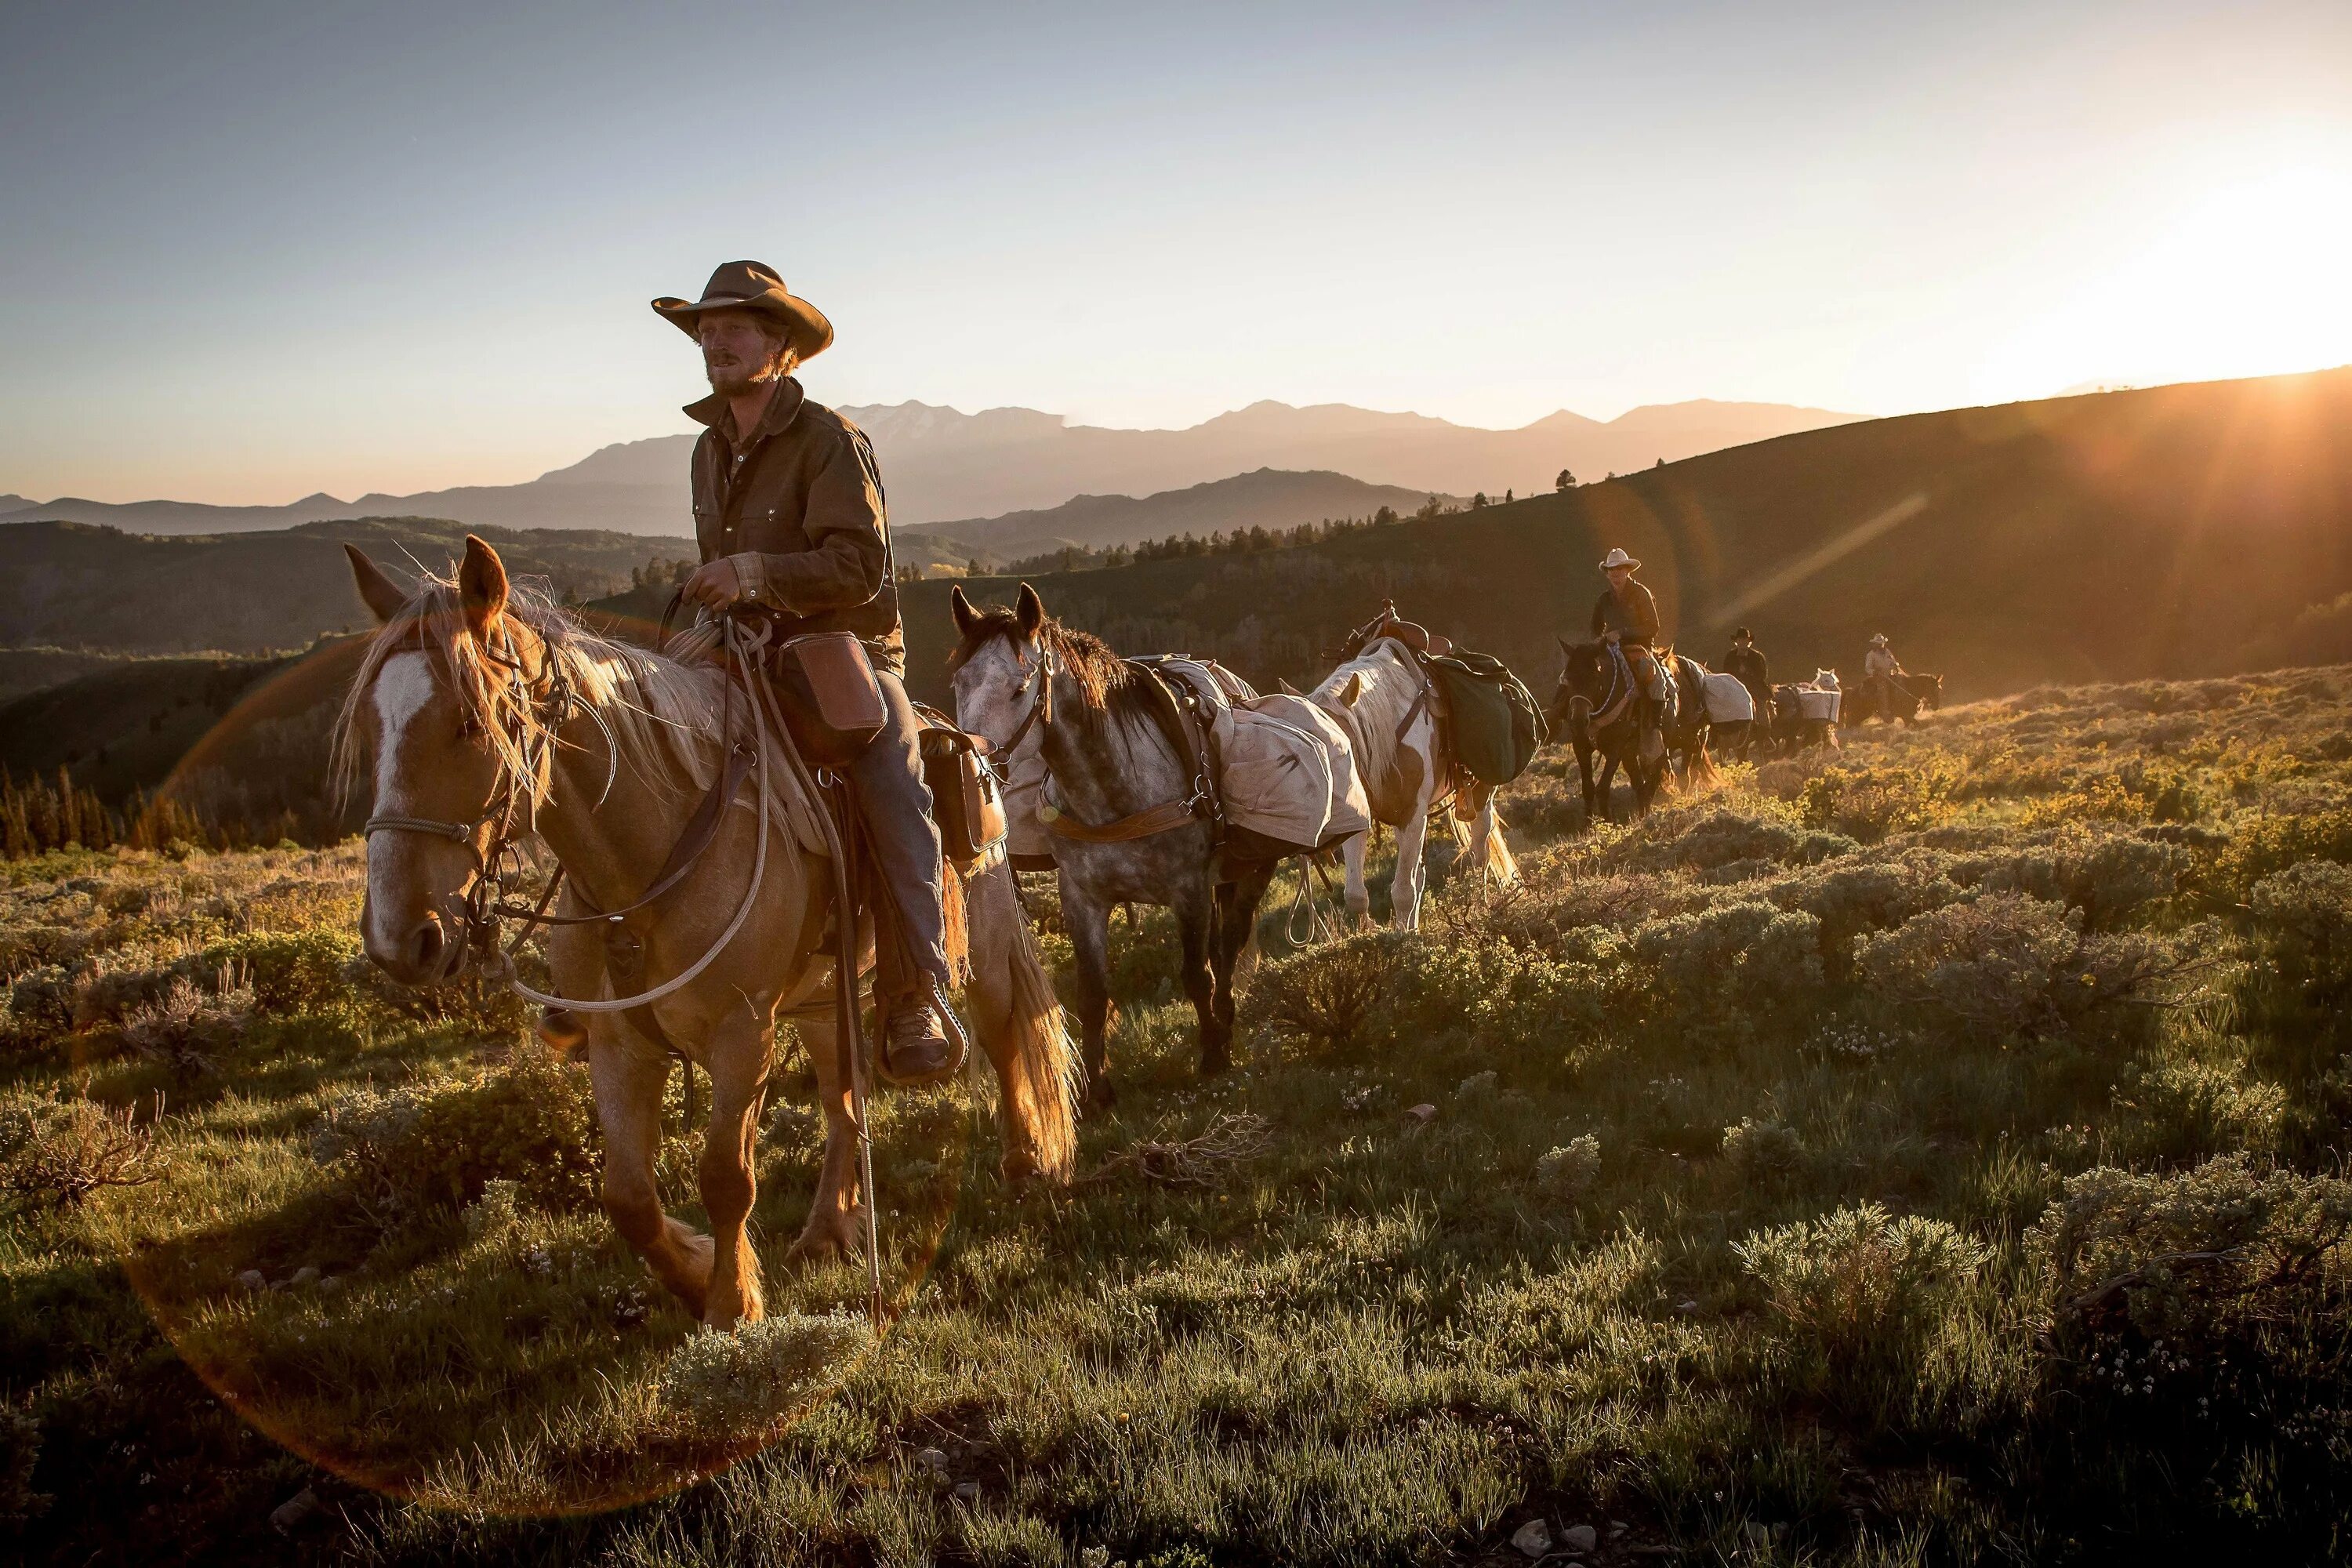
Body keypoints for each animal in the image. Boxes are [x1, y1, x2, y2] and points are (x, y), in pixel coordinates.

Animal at [946, 583, 1279, 1109]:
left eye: (1020, 688)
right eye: (960, 681)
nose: (969, 766)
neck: (1113, 792)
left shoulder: (1189, 891)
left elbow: (1196, 974)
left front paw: (1211, 1056)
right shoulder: (1083, 899)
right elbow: (1092, 993)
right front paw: (1098, 1091)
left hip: (1249, 875)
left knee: (1230, 946)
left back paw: (1225, 1025)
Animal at [1308, 634, 1505, 931]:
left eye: (1337, 746)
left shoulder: (1413, 815)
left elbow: (1402, 891)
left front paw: (1403, 937)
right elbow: (1356, 894)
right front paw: (1372, 933)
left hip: (1481, 795)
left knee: (1480, 853)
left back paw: (1481, 904)